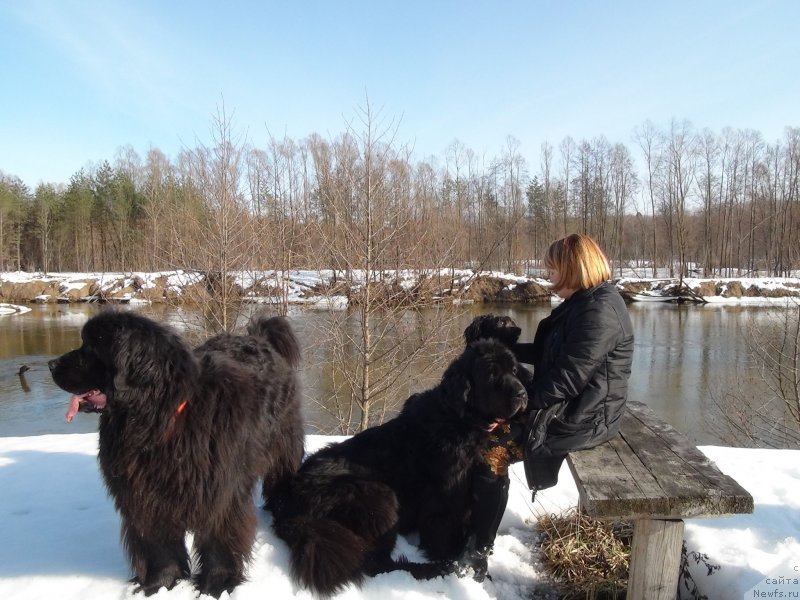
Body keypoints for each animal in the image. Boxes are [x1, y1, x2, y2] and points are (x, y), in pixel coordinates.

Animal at [47, 312, 304, 596]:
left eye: (92, 347)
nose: (51, 364)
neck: (156, 420)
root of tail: (259, 338)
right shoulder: (146, 496)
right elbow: (159, 546)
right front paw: (159, 583)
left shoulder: (219, 494)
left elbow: (218, 541)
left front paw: (217, 585)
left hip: (283, 442)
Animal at [270, 338, 532, 596]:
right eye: (491, 373)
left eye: (514, 370)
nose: (522, 393)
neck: (461, 421)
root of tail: (288, 508)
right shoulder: (446, 499)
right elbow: (446, 535)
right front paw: (463, 566)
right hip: (379, 495)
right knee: (377, 564)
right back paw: (431, 570)